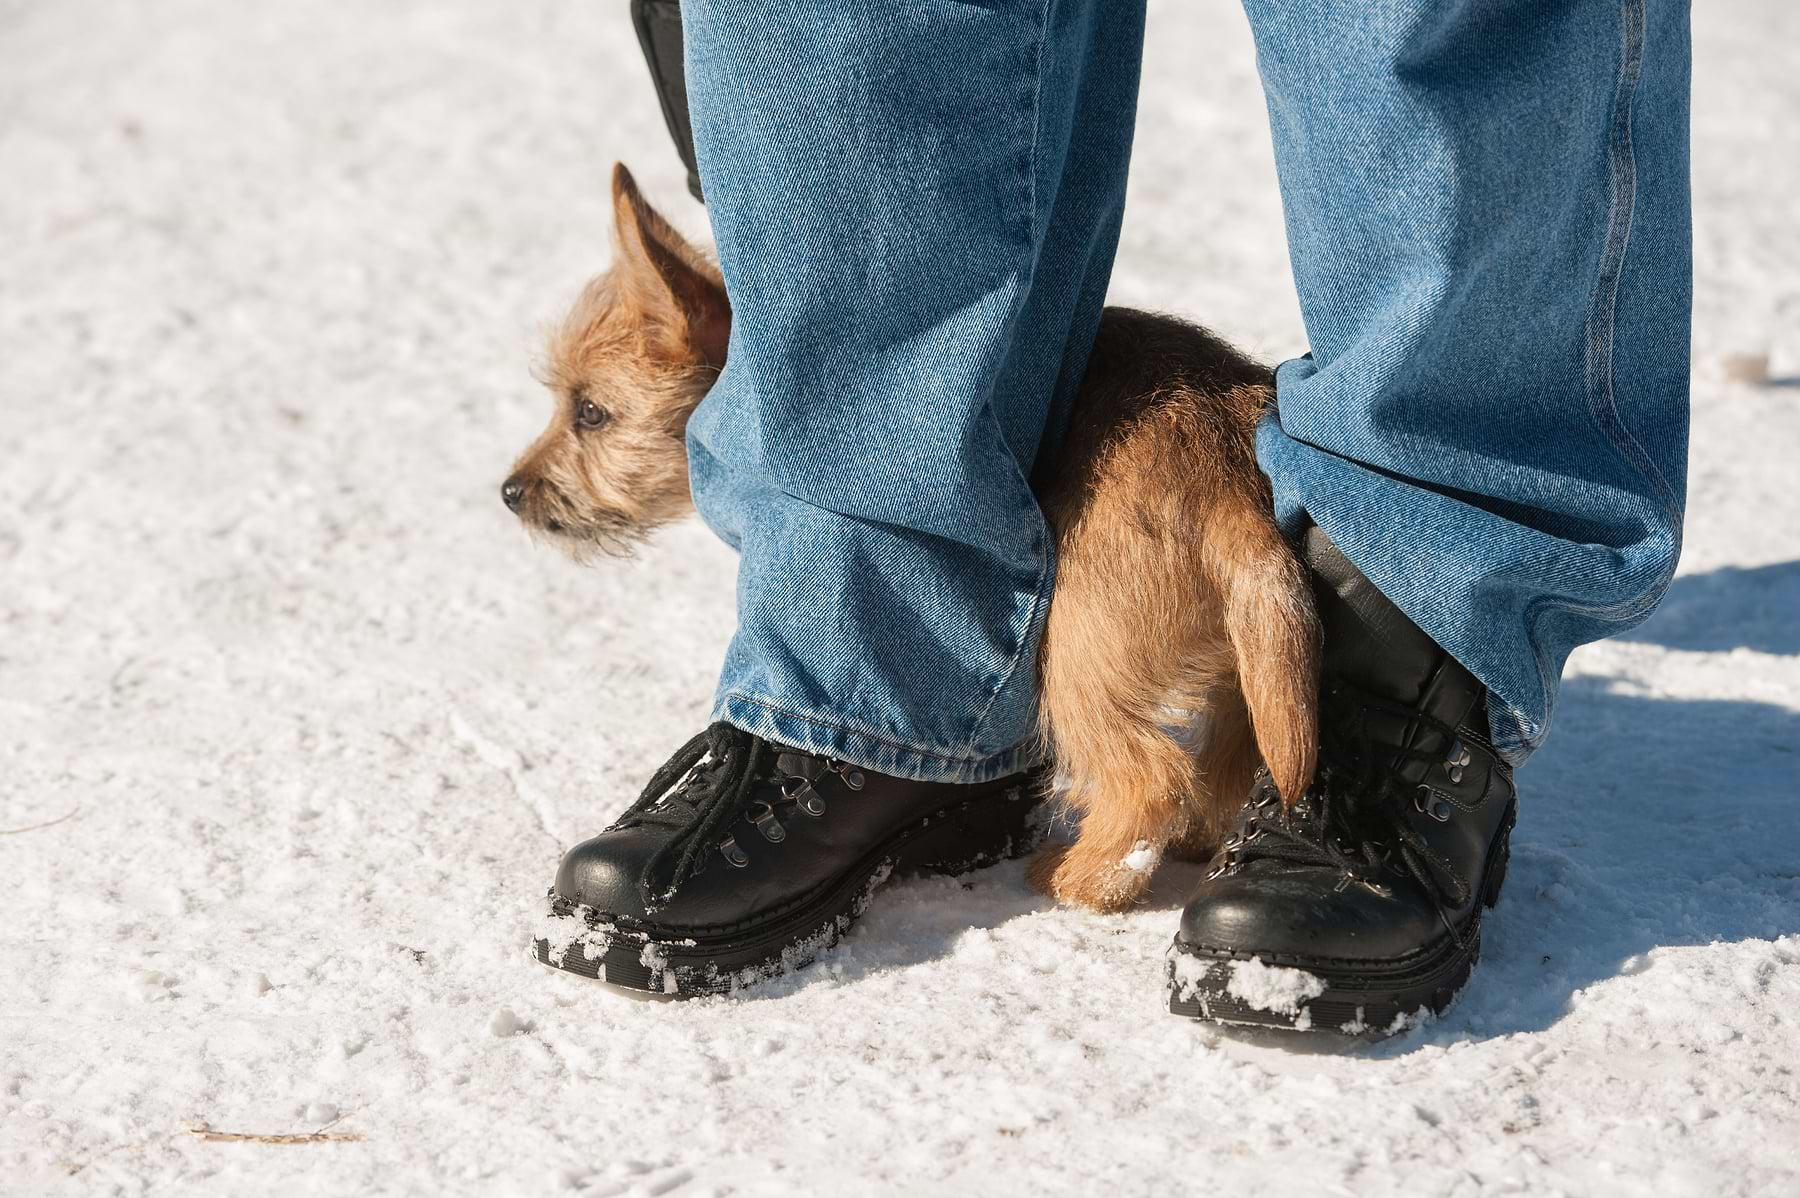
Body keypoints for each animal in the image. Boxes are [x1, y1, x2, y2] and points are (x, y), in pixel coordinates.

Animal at [507, 168, 1324, 910]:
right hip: (1242, 658)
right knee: (1234, 753)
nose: (510, 492)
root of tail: (1227, 470)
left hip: (1082, 650)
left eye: (590, 412)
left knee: (1149, 775)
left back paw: (1089, 879)